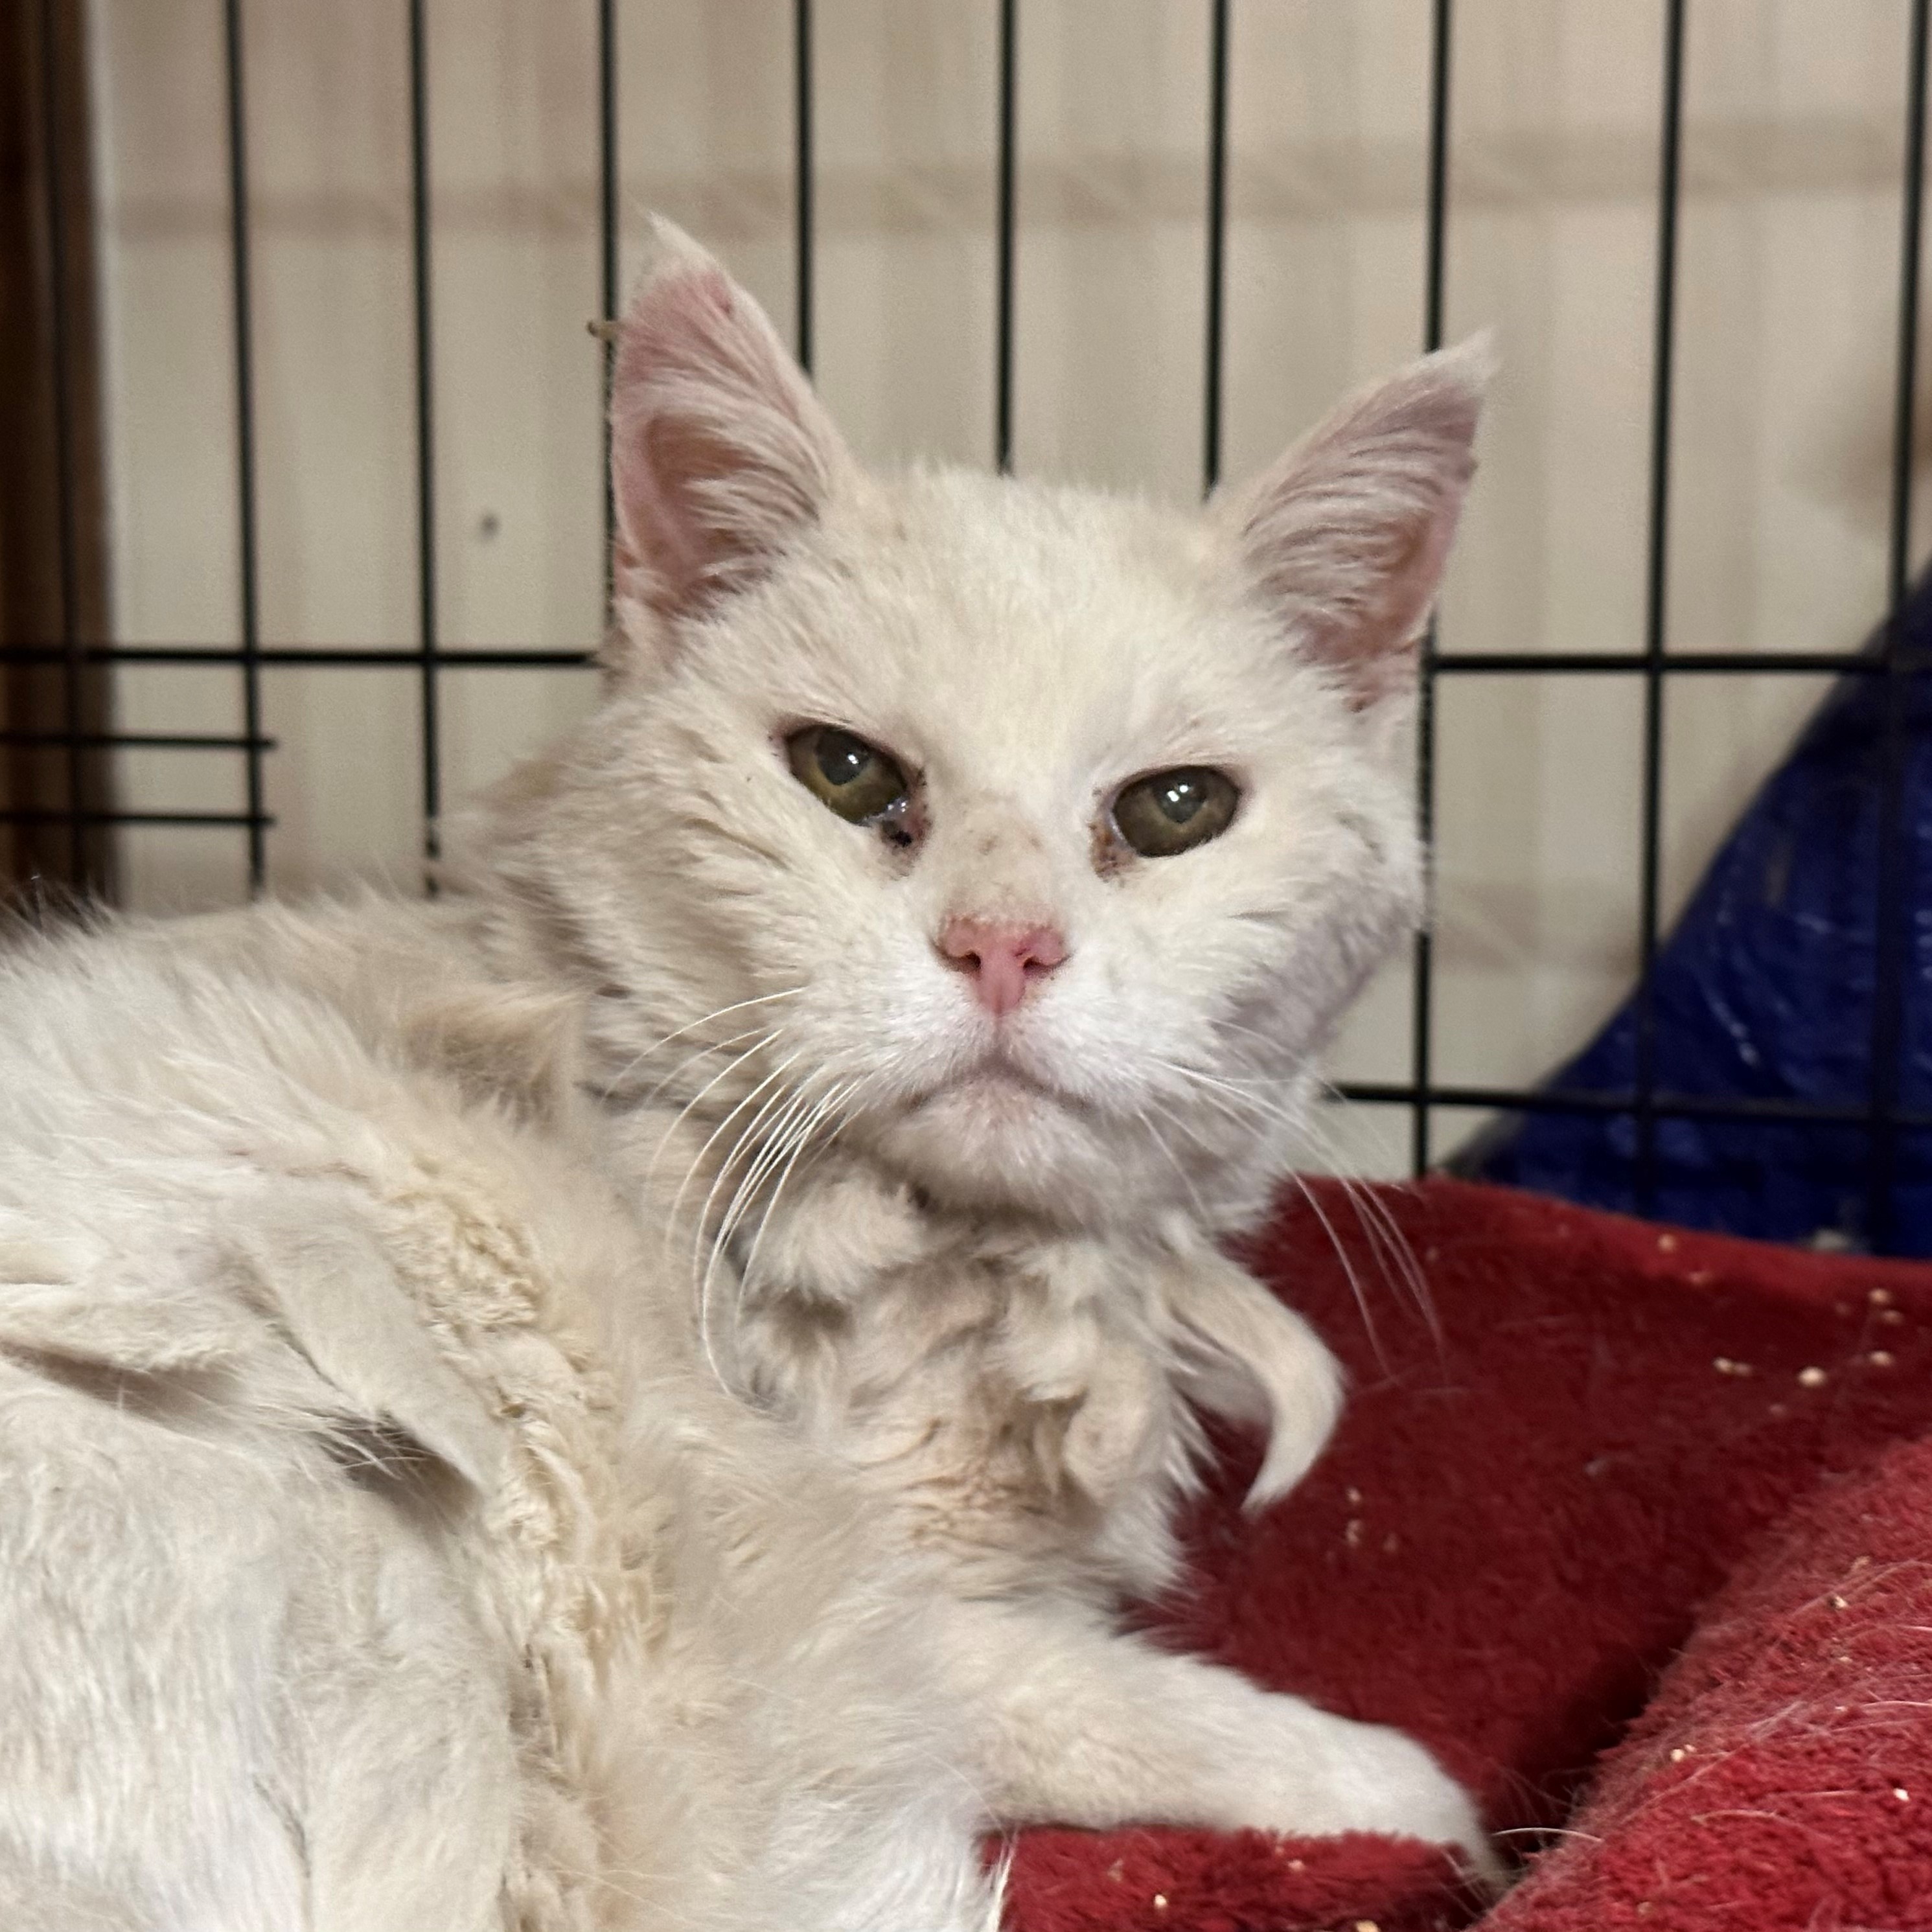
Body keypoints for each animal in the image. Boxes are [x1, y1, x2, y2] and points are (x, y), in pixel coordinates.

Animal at [0, 219, 1491, 1924]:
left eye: (1177, 809)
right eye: (845, 774)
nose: (1004, 947)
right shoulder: (905, 1625)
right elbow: (1124, 1703)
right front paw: (1421, 1803)